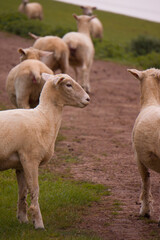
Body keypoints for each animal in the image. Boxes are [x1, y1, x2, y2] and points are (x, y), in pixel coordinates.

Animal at [0, 72, 90, 229]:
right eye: (68, 85)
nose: (87, 99)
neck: (45, 118)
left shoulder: (20, 164)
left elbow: (22, 191)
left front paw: (23, 219)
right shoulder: (30, 159)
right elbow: (35, 189)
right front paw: (38, 224)